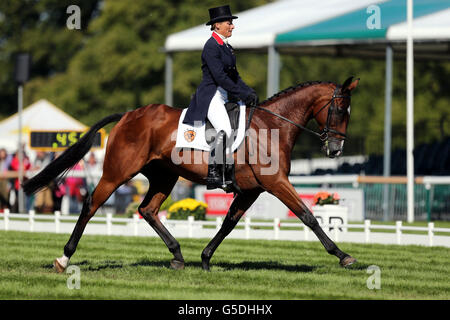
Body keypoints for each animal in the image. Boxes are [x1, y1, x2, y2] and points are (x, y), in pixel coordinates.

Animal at [22, 76, 358, 272]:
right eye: (340, 110)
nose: (335, 149)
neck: (271, 127)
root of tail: (129, 115)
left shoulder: (251, 190)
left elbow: (228, 223)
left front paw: (206, 258)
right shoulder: (275, 182)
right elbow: (308, 216)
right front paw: (343, 255)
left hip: (164, 176)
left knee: (148, 209)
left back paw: (178, 256)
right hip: (118, 172)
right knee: (91, 204)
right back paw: (64, 258)